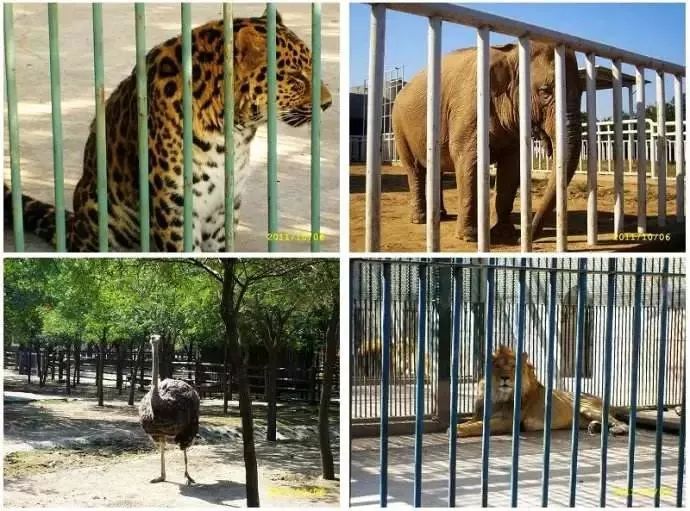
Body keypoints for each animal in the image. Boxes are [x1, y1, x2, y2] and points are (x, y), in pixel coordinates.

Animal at [2, 9, 330, 253]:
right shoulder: (174, 208)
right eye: (297, 77)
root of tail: (75, 226)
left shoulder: (224, 207)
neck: (232, 132)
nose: (328, 104)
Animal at [392, 40, 580, 244]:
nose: (522, 238)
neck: (510, 54)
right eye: (545, 92)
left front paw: (505, 234)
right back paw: (420, 219)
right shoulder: (469, 107)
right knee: (415, 169)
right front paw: (469, 237)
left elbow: (511, 167)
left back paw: (440, 215)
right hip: (400, 127)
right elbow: (470, 162)